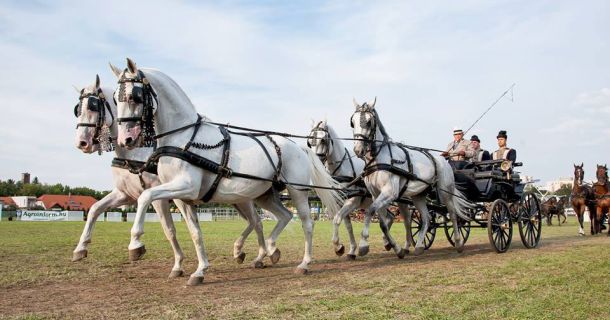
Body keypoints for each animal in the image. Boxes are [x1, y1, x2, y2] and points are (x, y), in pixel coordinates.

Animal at [71, 75, 186, 278]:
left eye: (93, 106)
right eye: (77, 110)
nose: (81, 143)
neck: (137, 154)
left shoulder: (158, 197)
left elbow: (169, 229)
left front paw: (177, 263)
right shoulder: (125, 194)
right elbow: (94, 209)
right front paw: (81, 248)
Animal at [111, 57, 344, 282]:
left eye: (133, 96)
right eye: (115, 98)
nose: (126, 140)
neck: (182, 138)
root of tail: (299, 146)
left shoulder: (187, 186)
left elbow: (145, 196)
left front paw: (135, 244)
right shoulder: (182, 198)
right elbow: (195, 233)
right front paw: (199, 270)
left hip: (297, 191)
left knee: (306, 223)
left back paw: (304, 263)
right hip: (264, 195)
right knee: (284, 216)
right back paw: (270, 249)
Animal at [306, 120, 396, 258]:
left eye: (323, 140)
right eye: (309, 141)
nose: (315, 162)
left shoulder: (352, 202)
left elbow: (337, 220)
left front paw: (338, 246)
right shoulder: (340, 203)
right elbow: (348, 226)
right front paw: (351, 250)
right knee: (390, 217)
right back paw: (387, 242)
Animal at [350, 99, 472, 256]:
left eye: (369, 121)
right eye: (352, 122)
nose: (358, 150)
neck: (380, 159)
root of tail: (443, 160)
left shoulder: (390, 193)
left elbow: (370, 211)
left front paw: (364, 245)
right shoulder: (376, 194)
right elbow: (383, 222)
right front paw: (397, 248)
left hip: (445, 193)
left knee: (452, 214)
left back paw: (458, 243)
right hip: (418, 196)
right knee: (426, 218)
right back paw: (419, 246)